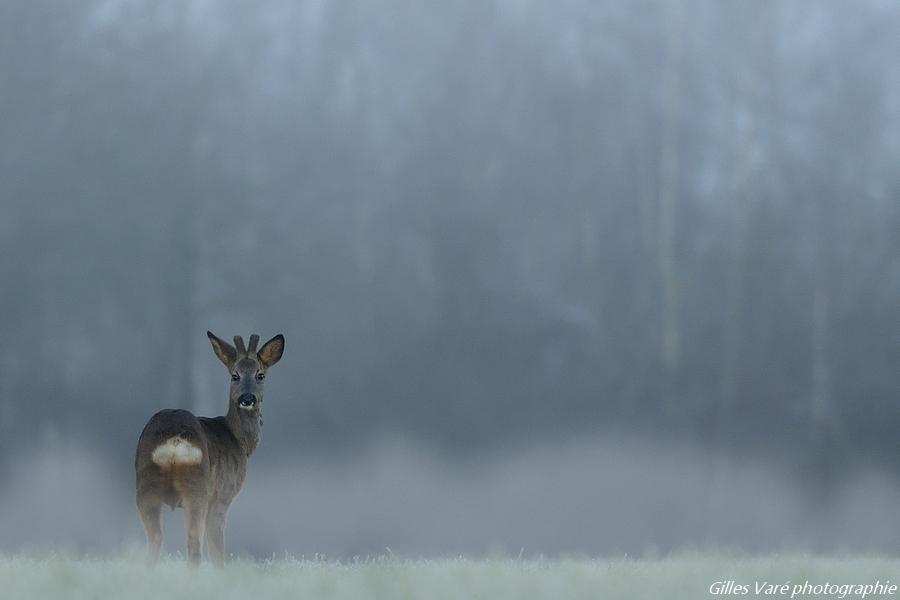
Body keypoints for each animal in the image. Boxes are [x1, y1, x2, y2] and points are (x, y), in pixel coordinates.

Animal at [134, 330, 284, 564]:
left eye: (260, 375)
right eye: (235, 375)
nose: (247, 398)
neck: (239, 440)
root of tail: (175, 440)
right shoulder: (223, 494)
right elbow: (217, 552)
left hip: (145, 485)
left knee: (155, 541)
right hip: (198, 489)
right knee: (194, 545)